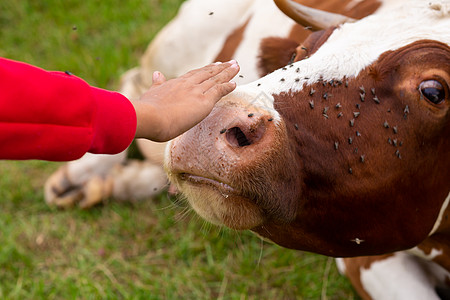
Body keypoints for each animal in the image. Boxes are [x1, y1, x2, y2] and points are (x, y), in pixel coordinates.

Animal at [44, 0, 450, 298]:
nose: (208, 121)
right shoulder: (371, 255)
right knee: (130, 85)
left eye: (434, 91)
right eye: (303, 50)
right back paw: (80, 176)